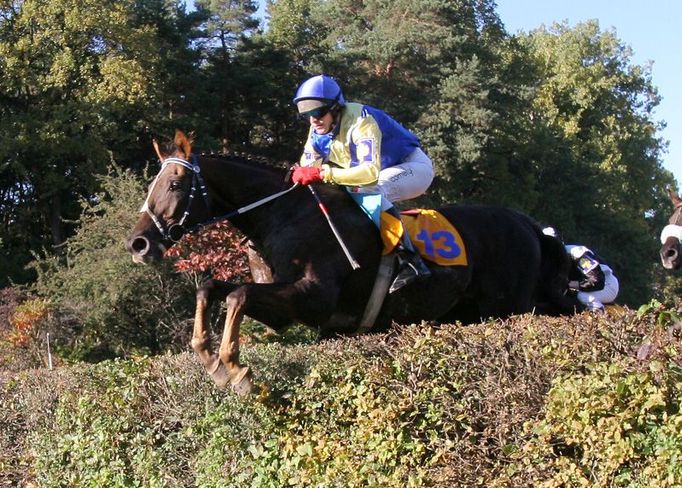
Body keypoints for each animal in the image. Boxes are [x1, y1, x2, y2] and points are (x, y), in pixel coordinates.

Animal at [126, 131, 568, 396]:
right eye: (152, 185)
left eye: (176, 184)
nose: (139, 243)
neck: (283, 214)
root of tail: (527, 223)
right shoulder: (286, 306)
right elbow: (212, 288)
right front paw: (208, 355)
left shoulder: (312, 299)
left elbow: (238, 295)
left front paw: (233, 370)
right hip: (466, 313)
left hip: (510, 308)